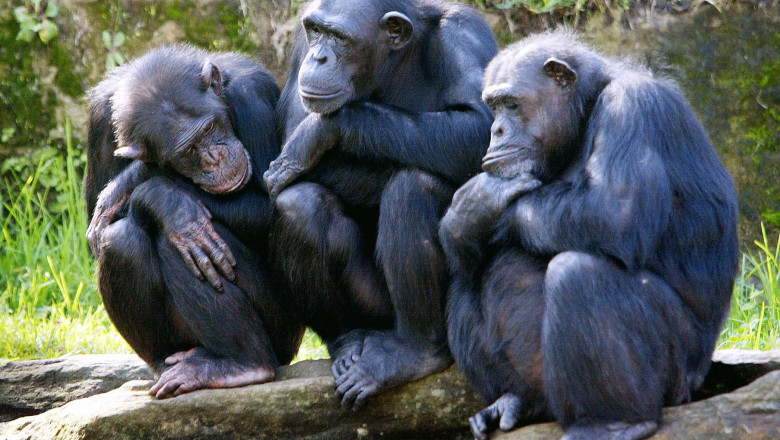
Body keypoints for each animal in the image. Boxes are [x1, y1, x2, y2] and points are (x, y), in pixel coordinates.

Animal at [85, 44, 304, 398]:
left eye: (210, 129)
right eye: (187, 151)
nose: (214, 158)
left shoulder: (253, 97)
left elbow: (272, 201)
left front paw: (148, 187)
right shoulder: (99, 119)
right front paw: (170, 203)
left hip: (284, 329)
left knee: (179, 245)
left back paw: (243, 364)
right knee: (121, 240)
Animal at [260, 0, 494, 410]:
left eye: (339, 38)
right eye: (317, 32)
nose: (320, 58)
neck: (393, 62)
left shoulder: (465, 36)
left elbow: (485, 129)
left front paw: (322, 130)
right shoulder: (299, 50)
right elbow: (287, 141)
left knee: (413, 186)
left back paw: (412, 351)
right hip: (371, 307)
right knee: (299, 204)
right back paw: (347, 340)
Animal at [438, 31, 736, 440]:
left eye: (511, 104)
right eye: (493, 107)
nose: (495, 130)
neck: (584, 113)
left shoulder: (630, 109)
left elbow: (614, 211)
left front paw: (479, 202)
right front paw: (462, 220)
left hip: (678, 374)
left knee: (578, 275)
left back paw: (612, 421)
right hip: (545, 391)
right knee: (464, 278)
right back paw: (512, 401)